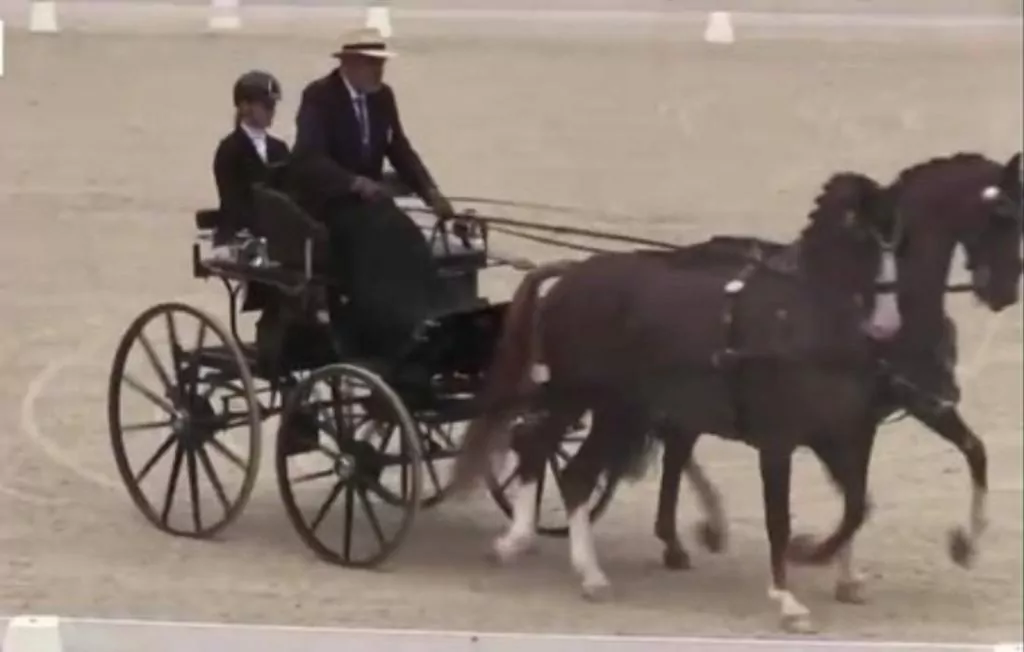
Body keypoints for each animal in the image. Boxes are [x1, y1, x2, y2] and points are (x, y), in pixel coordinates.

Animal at [448, 171, 905, 630]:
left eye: (896, 238)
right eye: (860, 236)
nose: (888, 325)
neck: (797, 322)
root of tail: (571, 277)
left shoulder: (845, 436)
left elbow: (855, 507)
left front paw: (830, 565)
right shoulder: (777, 442)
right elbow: (780, 519)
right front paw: (788, 597)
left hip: (612, 409)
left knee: (557, 459)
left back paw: (556, 558)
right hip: (584, 398)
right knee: (549, 454)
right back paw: (557, 559)